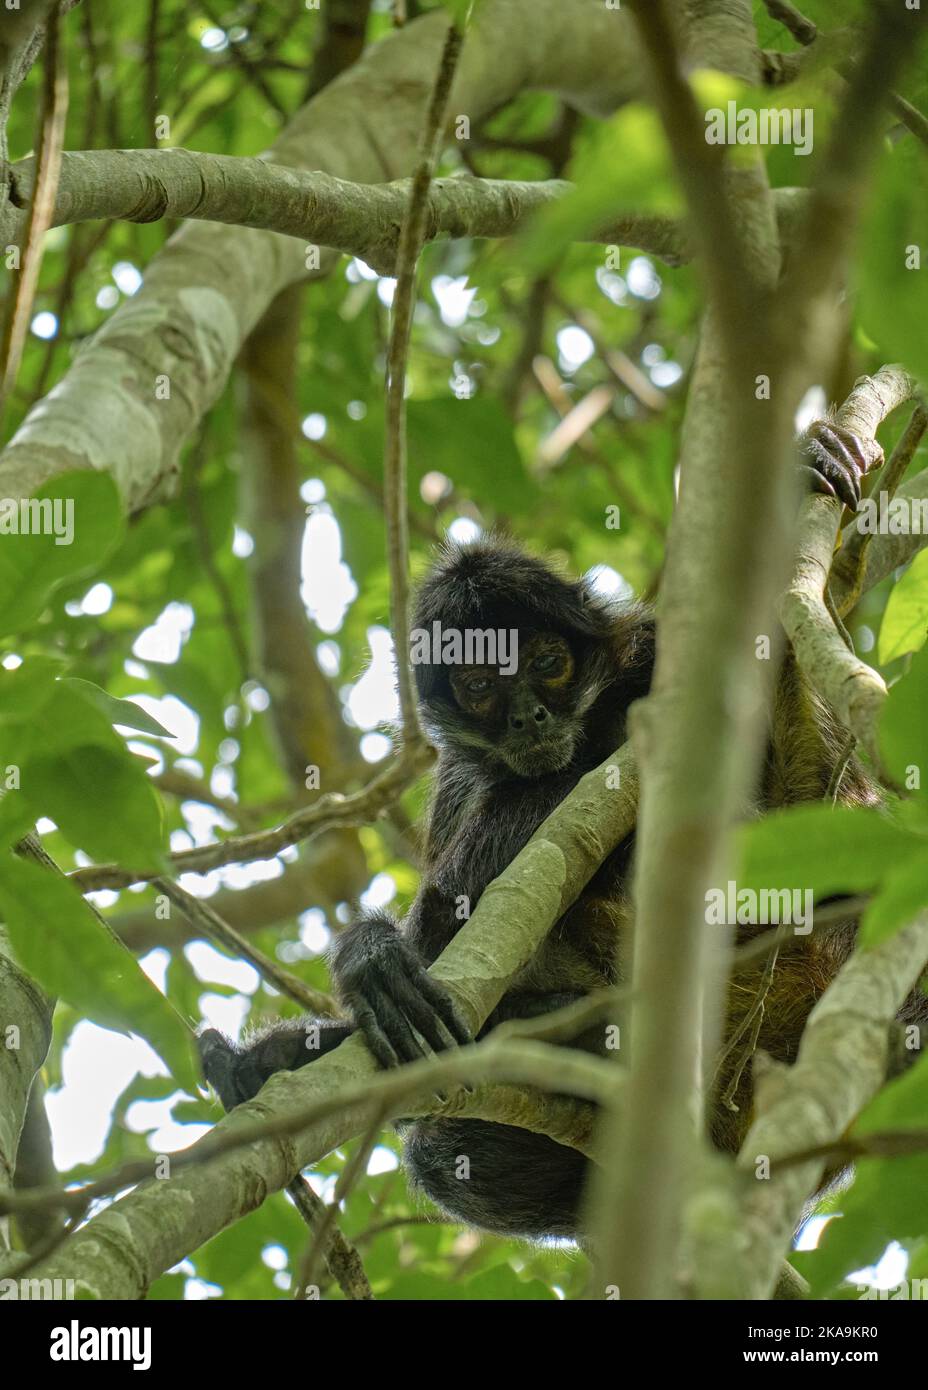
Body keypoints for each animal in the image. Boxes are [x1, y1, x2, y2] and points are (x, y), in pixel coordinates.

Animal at [199, 418, 927, 1241]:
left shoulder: (654, 652)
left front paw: (814, 457)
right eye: (480, 686)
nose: (530, 717)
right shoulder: (462, 772)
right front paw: (372, 964)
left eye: (548, 663)